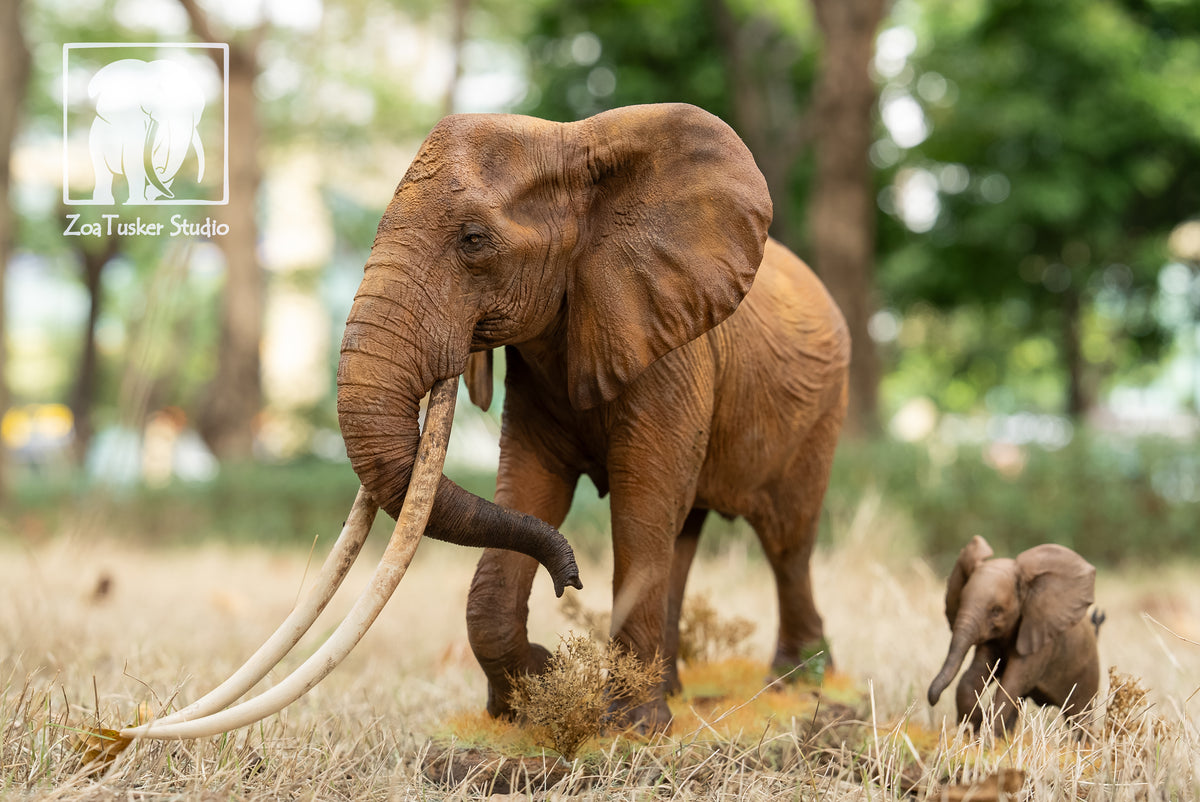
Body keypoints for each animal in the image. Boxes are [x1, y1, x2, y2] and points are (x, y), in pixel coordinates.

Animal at [335, 102, 851, 732]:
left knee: (786, 539)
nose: (570, 581)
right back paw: (679, 689)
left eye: (473, 241)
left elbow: (642, 500)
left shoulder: (672, 349)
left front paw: (630, 728)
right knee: (686, 534)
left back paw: (800, 684)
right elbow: (530, 492)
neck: (573, 146)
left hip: (818, 412)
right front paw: (528, 700)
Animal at [927, 535, 1101, 735]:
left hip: (1088, 674)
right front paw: (974, 725)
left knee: (1080, 718)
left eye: (996, 611)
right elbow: (974, 674)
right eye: (960, 601)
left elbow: (1013, 682)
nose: (933, 700)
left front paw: (983, 733)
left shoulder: (1042, 639)